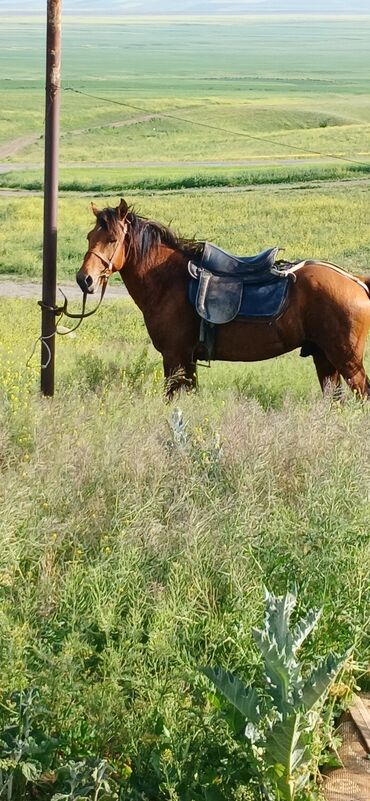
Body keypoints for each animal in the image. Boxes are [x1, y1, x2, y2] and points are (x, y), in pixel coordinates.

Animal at [75, 198, 370, 398]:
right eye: (89, 236)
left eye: (113, 239)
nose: (84, 279)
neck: (168, 280)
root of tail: (355, 281)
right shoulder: (187, 360)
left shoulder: (174, 357)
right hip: (324, 357)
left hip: (347, 361)